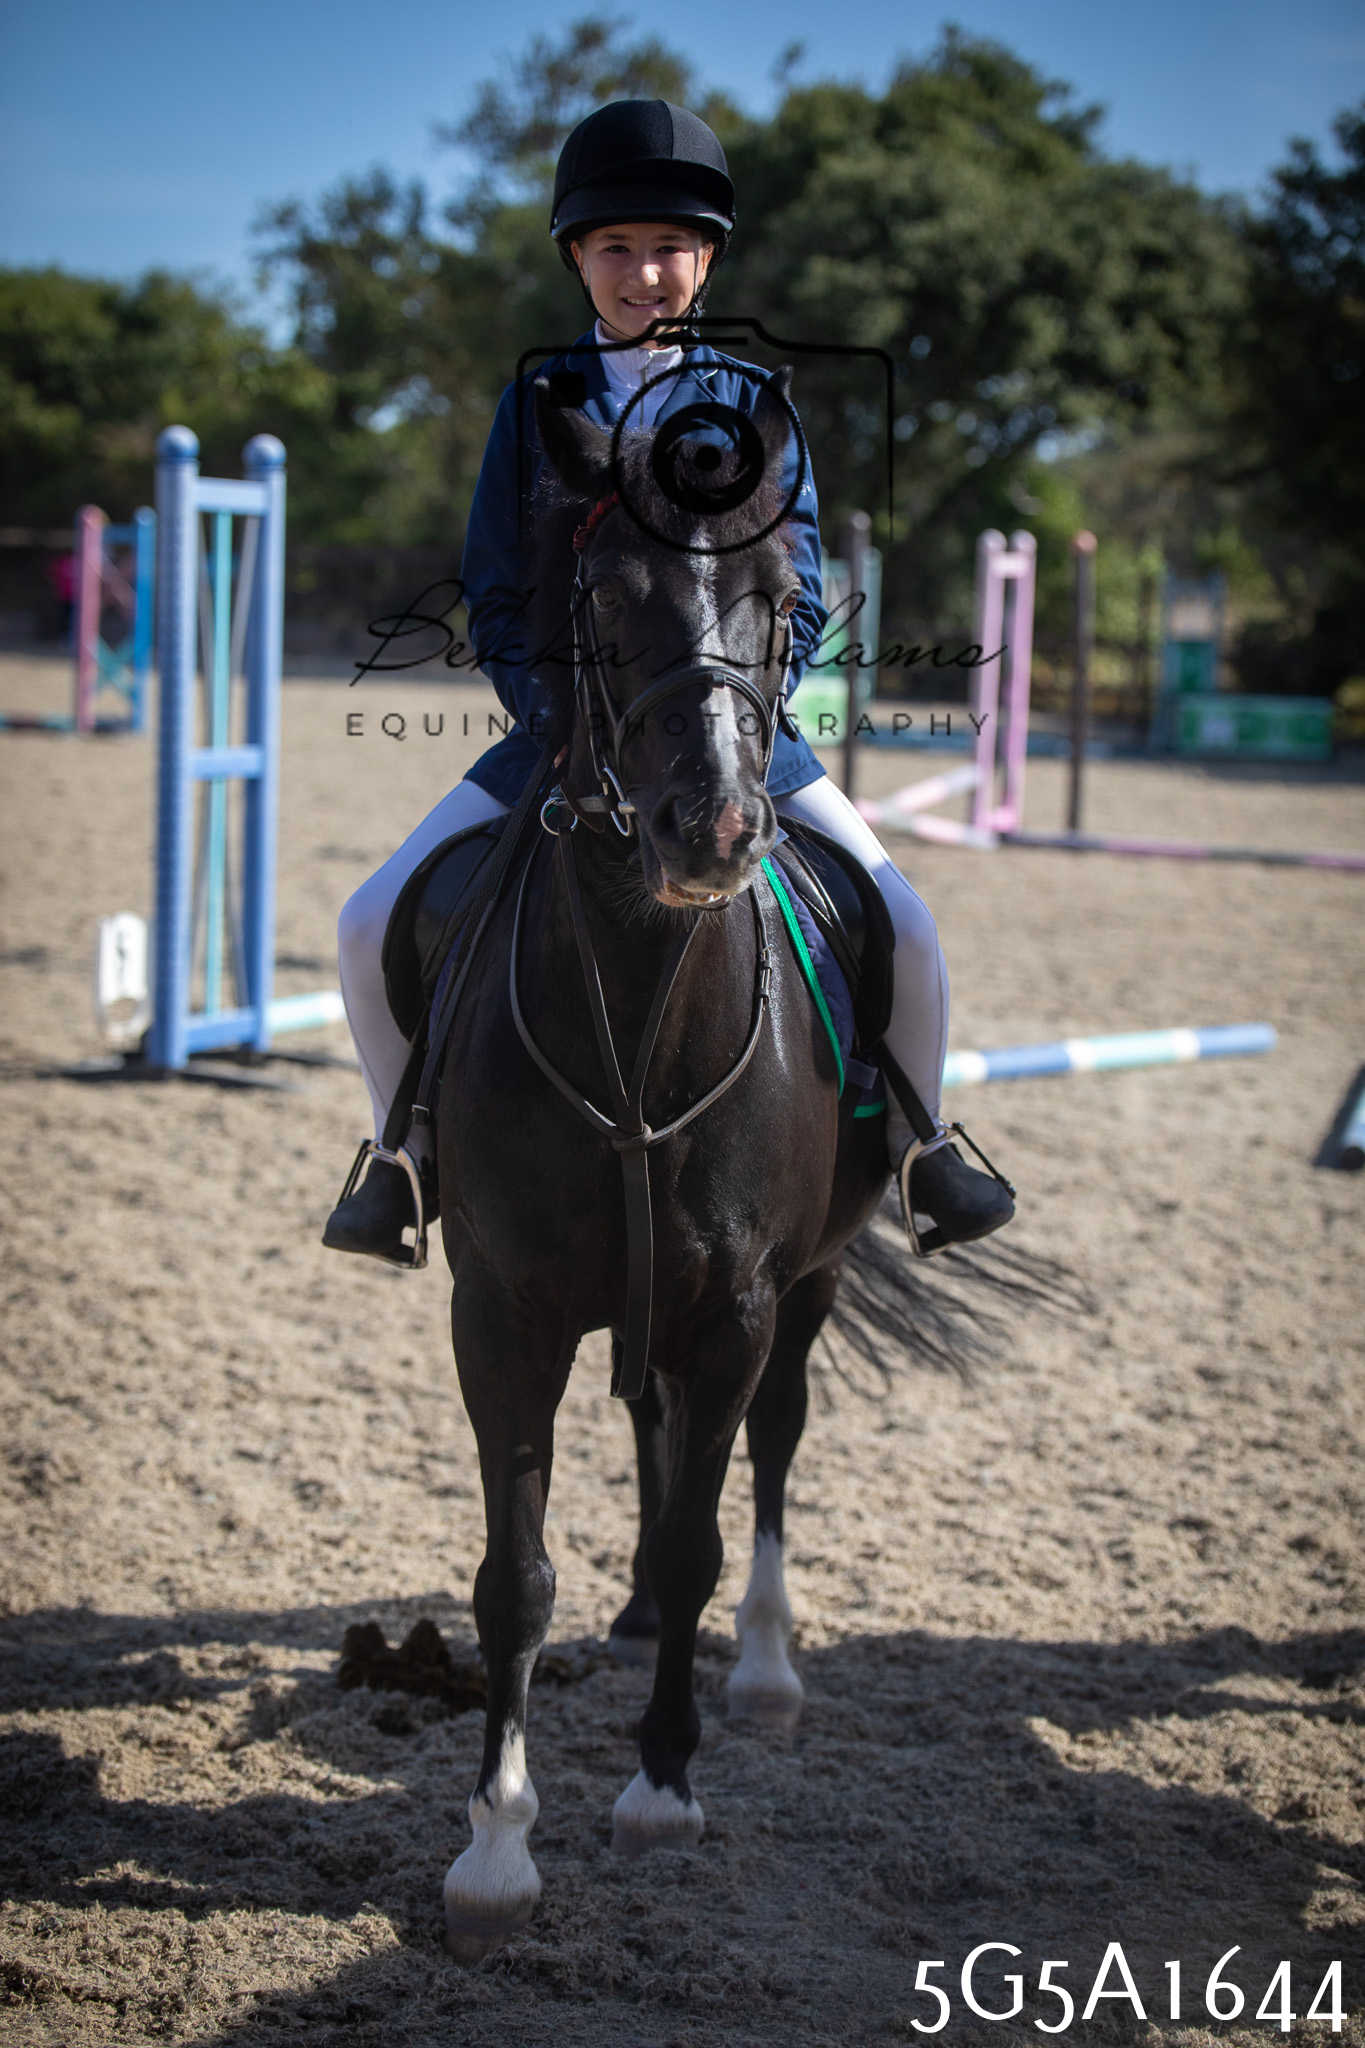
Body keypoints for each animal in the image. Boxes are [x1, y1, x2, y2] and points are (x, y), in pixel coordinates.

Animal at [433, 369, 917, 1960]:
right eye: (603, 592)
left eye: (774, 596)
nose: (709, 829)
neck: (642, 1012)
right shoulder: (501, 1309)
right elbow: (513, 1573)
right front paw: (496, 1848)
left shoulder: (743, 1303)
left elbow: (712, 1527)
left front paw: (660, 1784)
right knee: (654, 1439)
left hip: (808, 1283)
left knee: (770, 1452)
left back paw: (757, 1672)